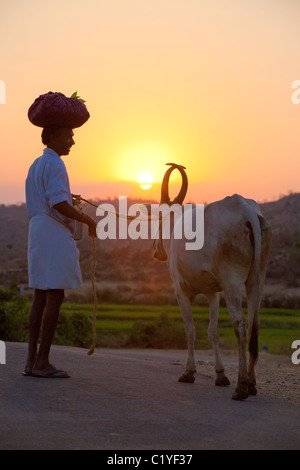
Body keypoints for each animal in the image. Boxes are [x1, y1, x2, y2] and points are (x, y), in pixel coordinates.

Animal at [152, 164, 272, 400]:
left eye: (160, 217)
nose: (158, 252)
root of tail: (248, 212)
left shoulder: (180, 289)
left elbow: (190, 330)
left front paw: (189, 372)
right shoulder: (213, 293)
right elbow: (213, 332)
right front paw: (220, 375)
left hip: (231, 281)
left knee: (240, 323)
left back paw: (241, 387)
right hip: (256, 280)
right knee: (255, 323)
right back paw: (252, 383)